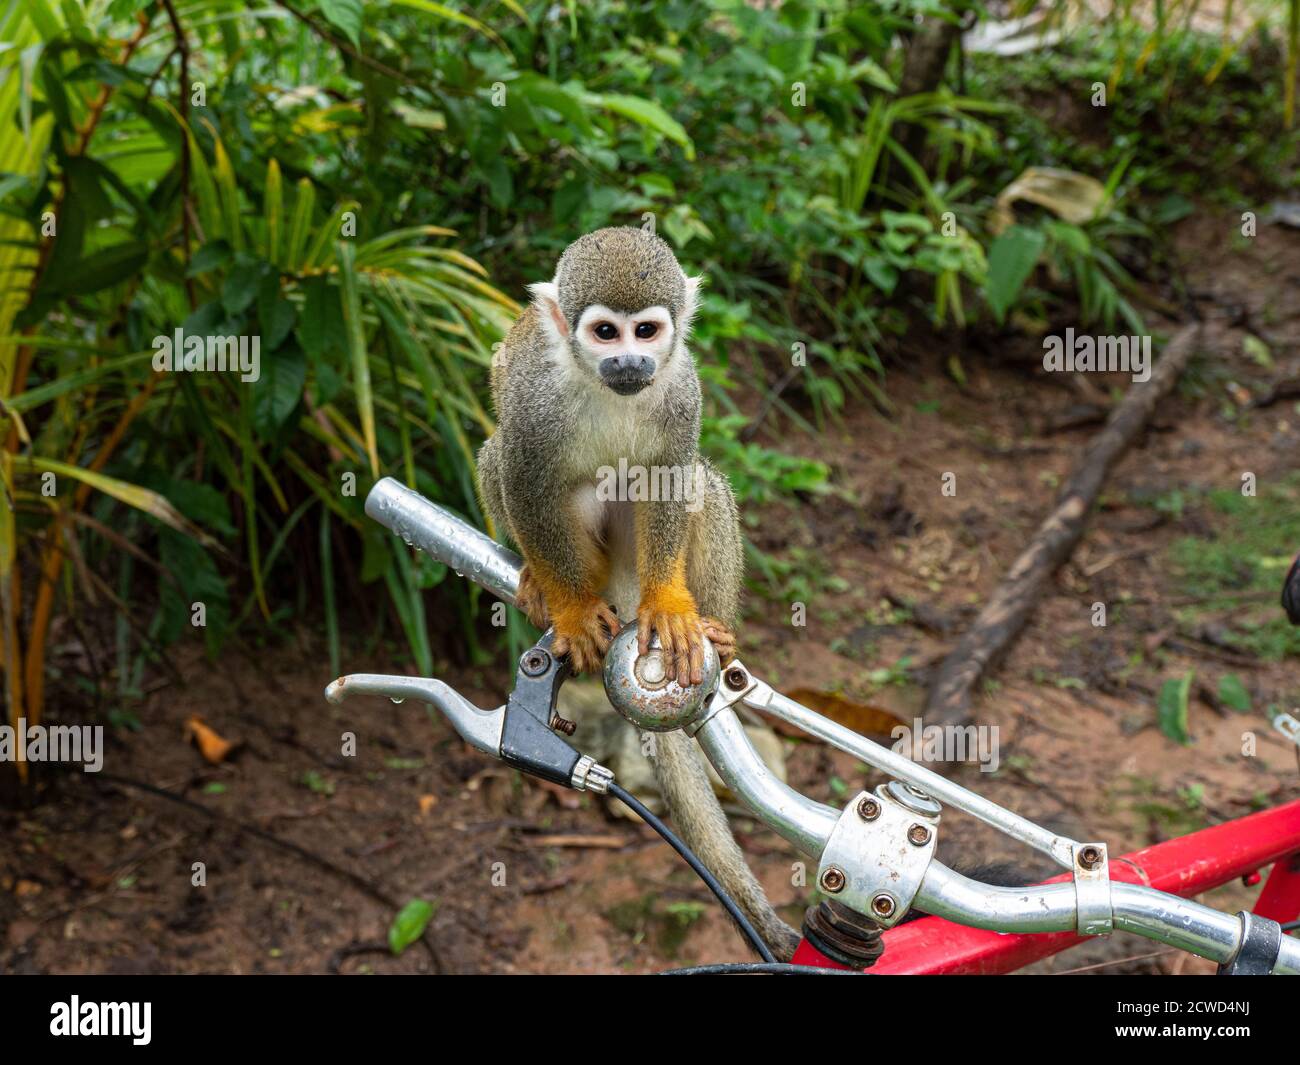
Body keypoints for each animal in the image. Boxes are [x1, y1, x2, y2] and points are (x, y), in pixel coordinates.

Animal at [477, 226, 800, 958]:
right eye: (605, 332)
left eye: (645, 330)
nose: (629, 360)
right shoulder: (536, 399)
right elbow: (522, 474)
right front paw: (569, 612)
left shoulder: (682, 387)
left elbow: (672, 474)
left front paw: (671, 608)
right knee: (498, 456)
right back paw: (547, 585)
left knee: (698, 480)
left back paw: (711, 632)